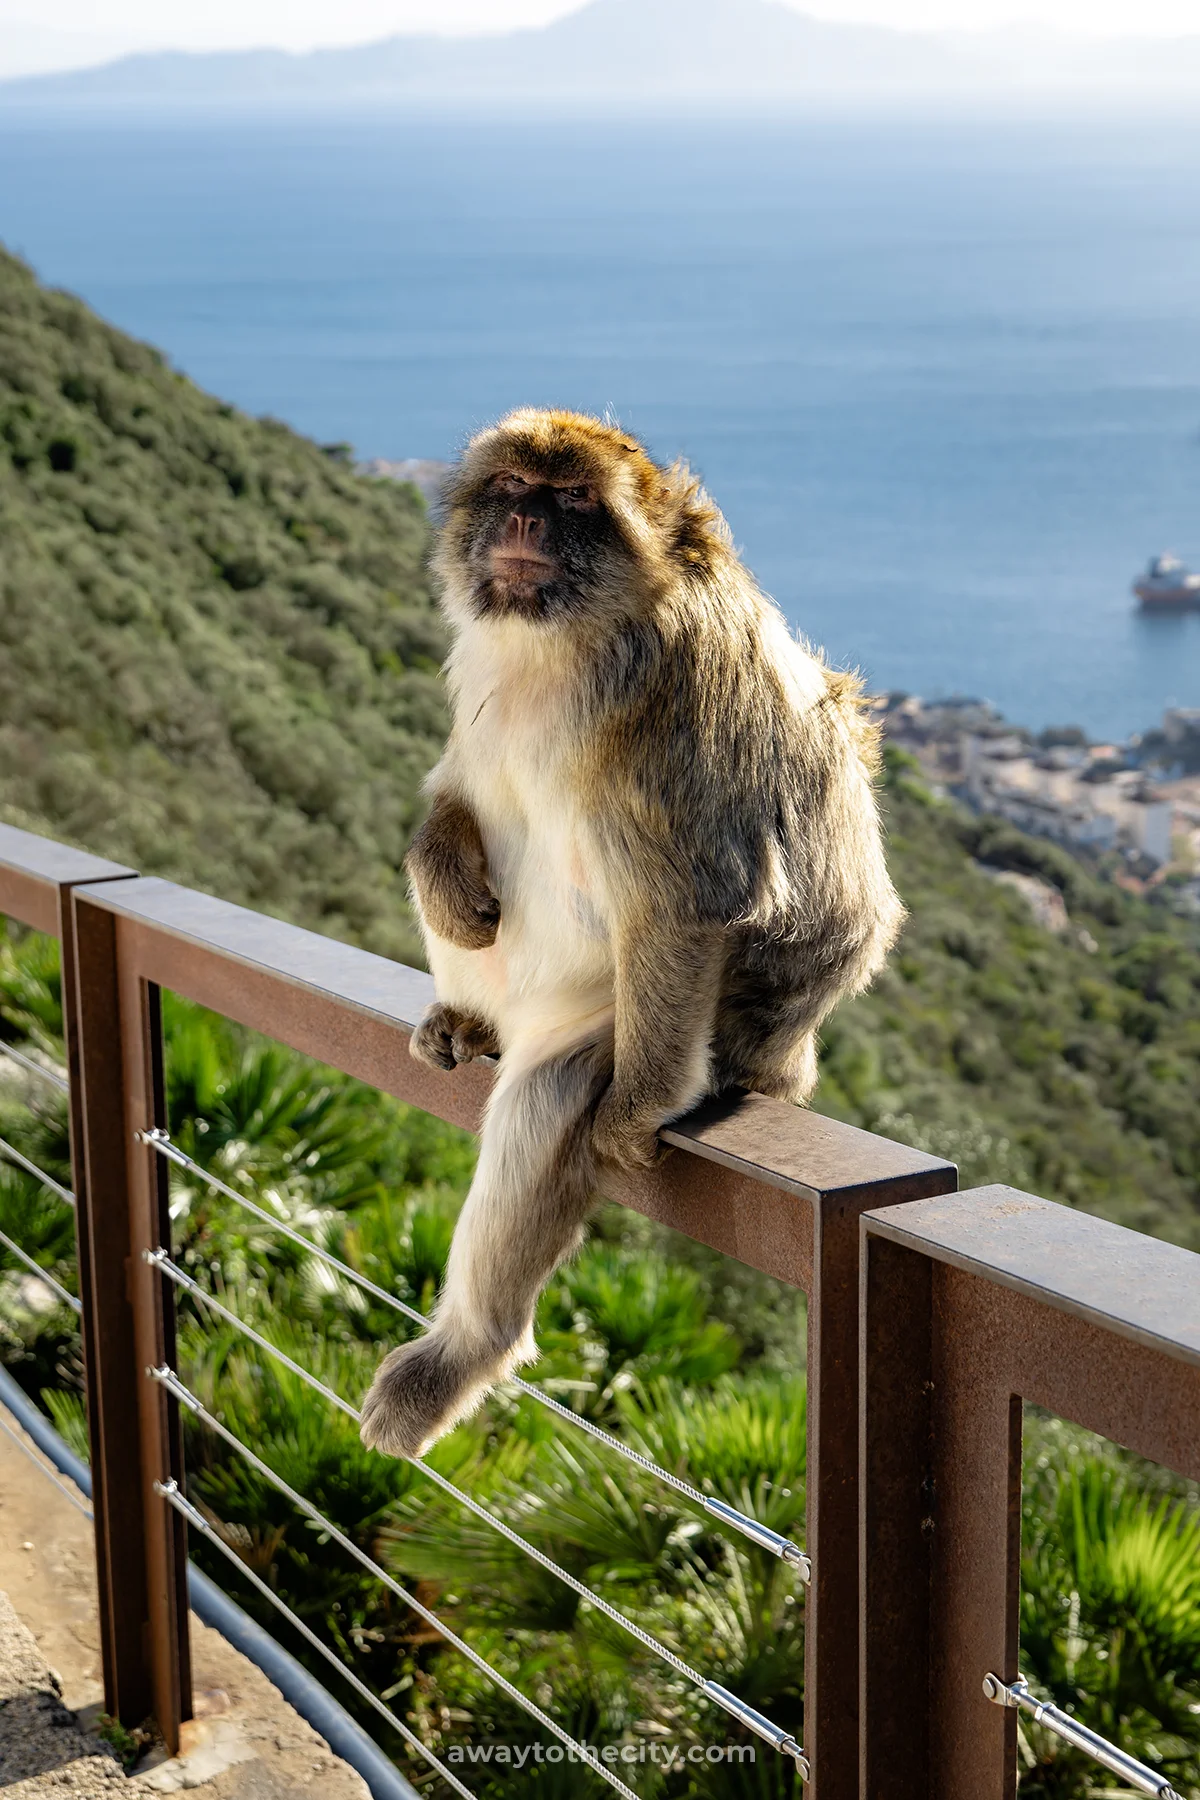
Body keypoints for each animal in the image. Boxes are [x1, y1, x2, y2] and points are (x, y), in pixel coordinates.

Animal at [359, 408, 905, 1459]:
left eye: (573, 497)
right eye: (514, 483)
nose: (525, 519)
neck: (563, 643)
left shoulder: (677, 701)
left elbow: (688, 901)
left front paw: (628, 1118)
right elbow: (455, 791)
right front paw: (443, 868)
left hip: (649, 1029)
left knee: (544, 1103)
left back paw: (463, 1349)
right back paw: (463, 1016)